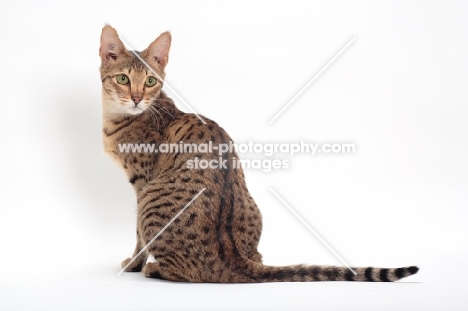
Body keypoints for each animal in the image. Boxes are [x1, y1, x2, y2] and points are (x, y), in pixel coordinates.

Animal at [99, 24, 420, 282]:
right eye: (123, 79)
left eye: (150, 81)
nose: (137, 98)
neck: (119, 118)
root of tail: (236, 261)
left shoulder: (141, 184)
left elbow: (138, 237)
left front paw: (133, 265)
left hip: (150, 201)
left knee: (188, 272)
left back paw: (154, 268)